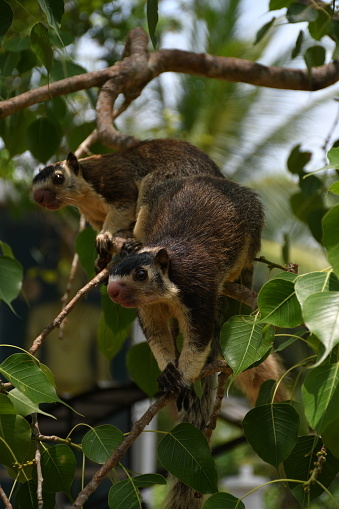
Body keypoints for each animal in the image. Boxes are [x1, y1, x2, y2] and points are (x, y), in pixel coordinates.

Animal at [31, 137, 223, 268]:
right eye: (33, 186)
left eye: (58, 178)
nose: (38, 197)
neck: (84, 199)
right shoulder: (93, 216)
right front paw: (102, 258)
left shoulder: (113, 182)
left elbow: (124, 206)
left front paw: (104, 235)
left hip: (166, 185)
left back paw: (137, 243)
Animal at [107, 175, 286, 508]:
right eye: (111, 272)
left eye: (141, 274)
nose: (113, 292)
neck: (164, 293)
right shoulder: (149, 312)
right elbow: (158, 337)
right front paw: (168, 371)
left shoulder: (198, 293)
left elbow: (199, 340)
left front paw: (186, 381)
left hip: (251, 230)